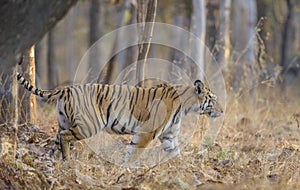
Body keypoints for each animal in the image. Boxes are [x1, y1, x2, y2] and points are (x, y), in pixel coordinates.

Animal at [17, 72, 223, 164]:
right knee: (65, 137)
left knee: (57, 142)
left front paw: (182, 170)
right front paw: (126, 168)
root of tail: (66, 89)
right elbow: (134, 152)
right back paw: (67, 161)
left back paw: (55, 163)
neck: (186, 107)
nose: (222, 111)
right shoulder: (146, 132)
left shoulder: (169, 135)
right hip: (89, 125)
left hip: (64, 122)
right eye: (213, 99)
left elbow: (175, 153)